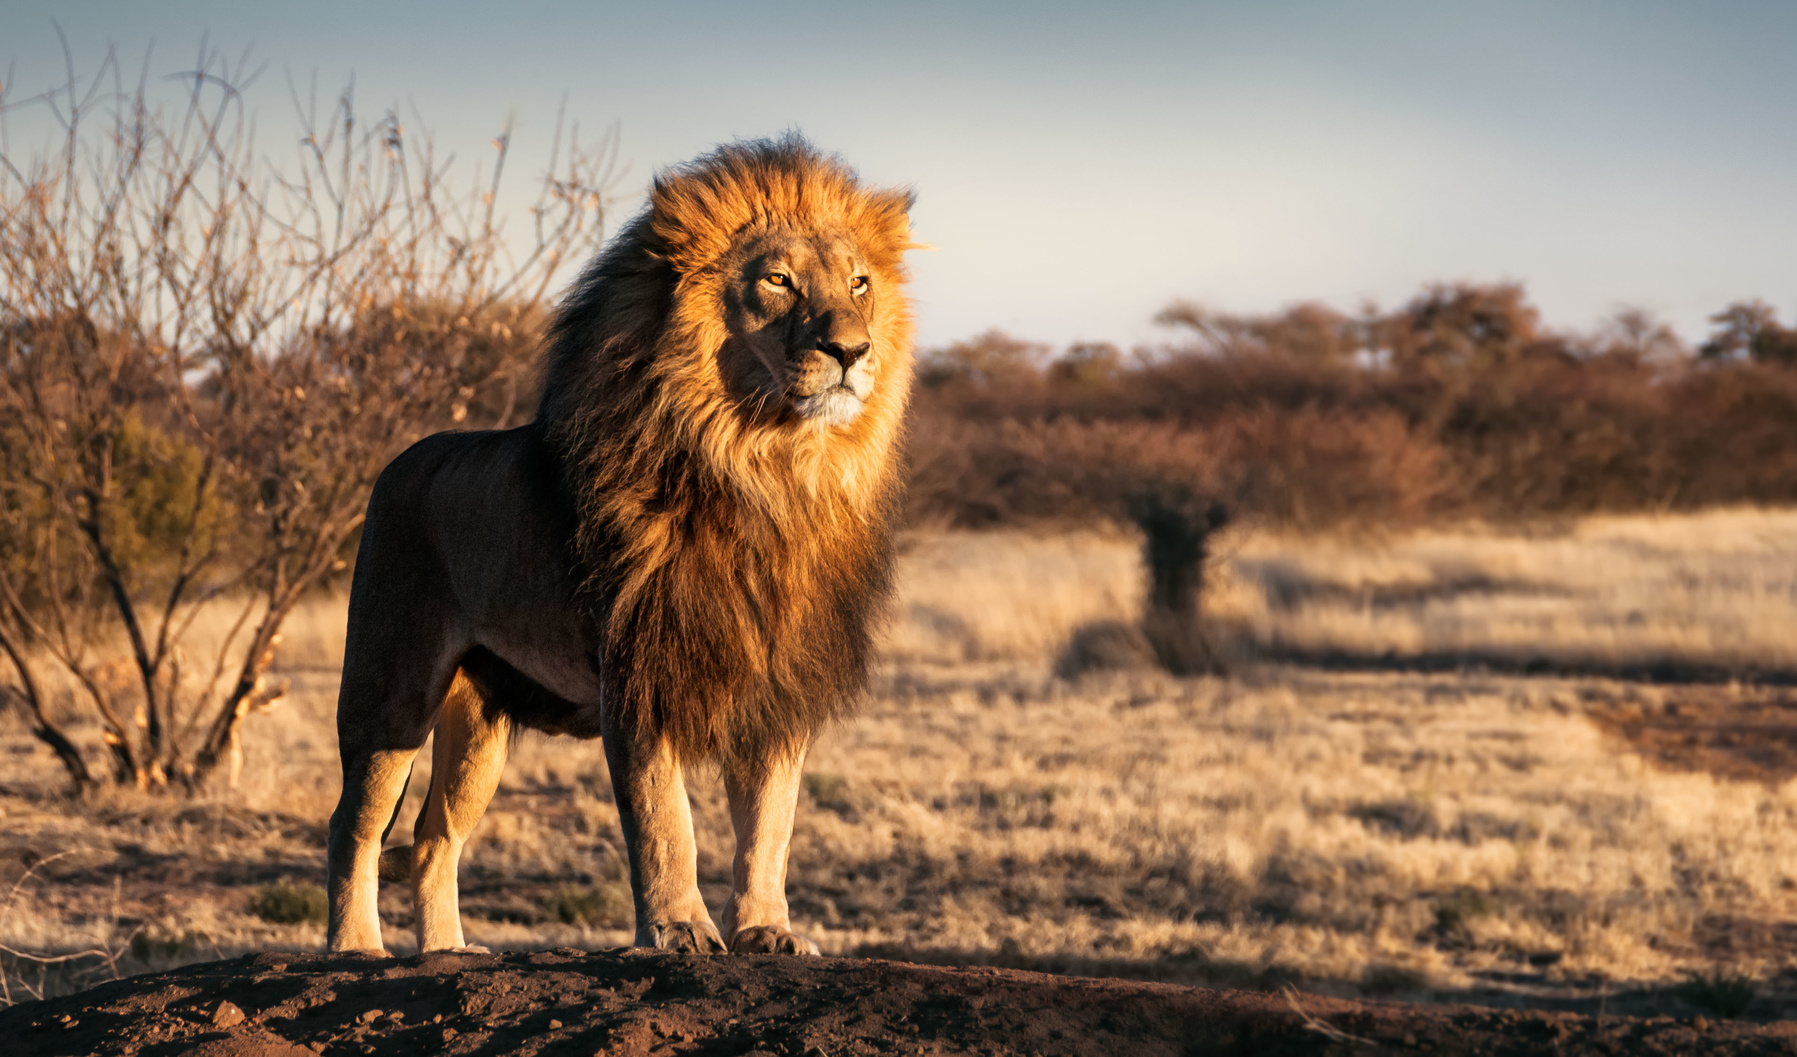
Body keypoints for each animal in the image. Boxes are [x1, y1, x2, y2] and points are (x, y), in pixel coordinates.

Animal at [325, 137, 917, 955]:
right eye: (778, 280)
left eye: (860, 283)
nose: (852, 349)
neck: (767, 470)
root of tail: (399, 460)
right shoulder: (638, 670)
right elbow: (666, 819)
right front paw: (679, 930)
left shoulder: (777, 683)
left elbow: (770, 824)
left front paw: (767, 930)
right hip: (390, 690)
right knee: (353, 823)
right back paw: (355, 946)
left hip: (480, 722)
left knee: (434, 835)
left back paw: (447, 950)